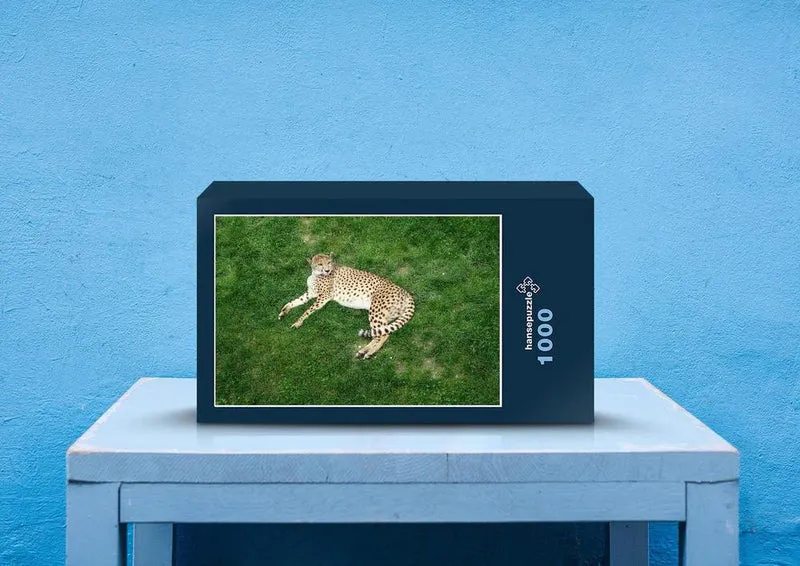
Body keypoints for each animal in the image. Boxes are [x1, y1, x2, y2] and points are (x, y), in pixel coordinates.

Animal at [278, 252, 415, 359]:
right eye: (320, 264)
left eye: (329, 262)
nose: (327, 270)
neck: (316, 274)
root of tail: (406, 292)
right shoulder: (310, 293)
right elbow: (294, 301)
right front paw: (283, 311)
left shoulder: (324, 297)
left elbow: (307, 310)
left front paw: (298, 322)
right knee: (380, 332)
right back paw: (364, 351)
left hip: (376, 310)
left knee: (383, 334)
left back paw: (368, 352)